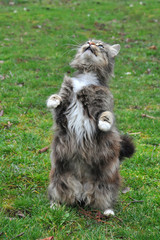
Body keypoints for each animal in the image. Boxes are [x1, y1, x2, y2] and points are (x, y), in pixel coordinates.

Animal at [46, 39, 135, 216]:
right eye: (88, 41)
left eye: (100, 46)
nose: (91, 42)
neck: (86, 78)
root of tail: (82, 188)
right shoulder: (62, 113)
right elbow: (58, 98)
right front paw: (52, 100)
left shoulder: (104, 102)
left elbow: (107, 114)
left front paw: (104, 123)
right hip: (59, 179)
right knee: (59, 194)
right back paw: (55, 205)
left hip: (105, 183)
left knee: (106, 199)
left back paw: (108, 211)